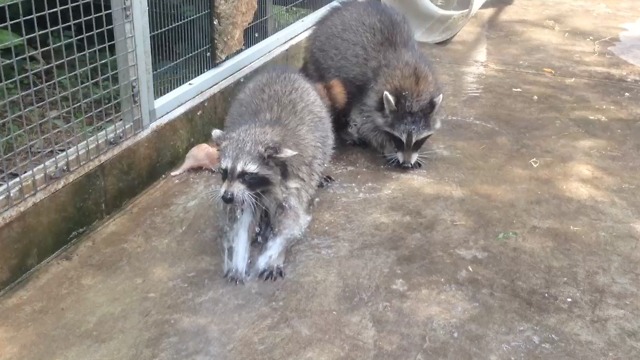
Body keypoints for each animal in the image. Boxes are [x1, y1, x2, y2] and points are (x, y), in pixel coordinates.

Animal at [210, 66, 336, 282]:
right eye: (224, 172)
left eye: (246, 174)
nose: (226, 197)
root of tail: (282, 70)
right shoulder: (247, 194)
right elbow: (243, 220)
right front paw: (239, 258)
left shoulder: (294, 180)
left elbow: (290, 221)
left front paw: (274, 256)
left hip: (324, 133)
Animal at [302, 0, 442, 169]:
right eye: (398, 139)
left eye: (418, 141)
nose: (406, 164)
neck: (412, 89)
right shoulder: (371, 92)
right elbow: (368, 124)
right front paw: (386, 147)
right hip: (322, 64)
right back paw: (343, 130)